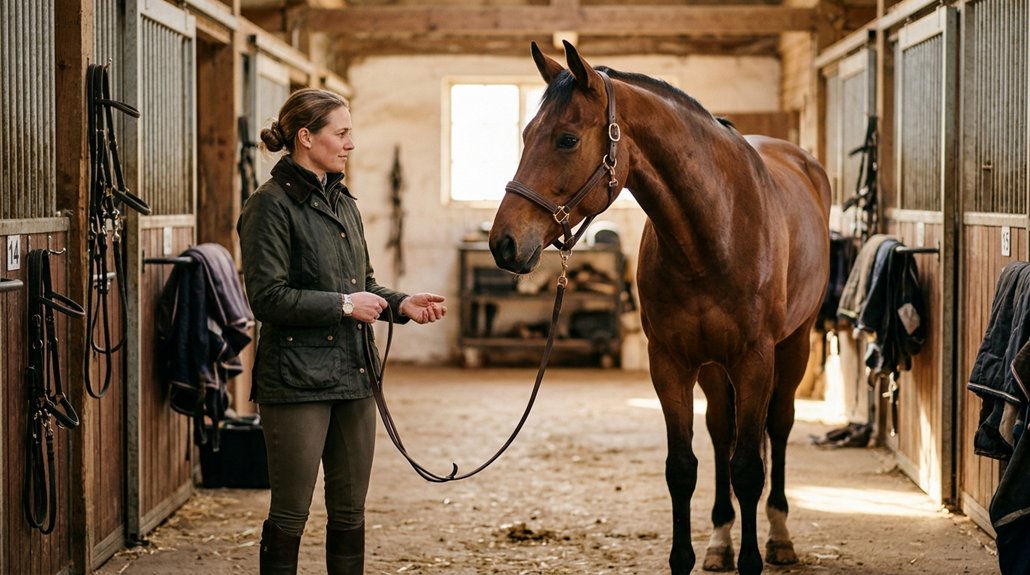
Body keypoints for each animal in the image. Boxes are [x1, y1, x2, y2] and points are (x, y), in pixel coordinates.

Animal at [489, 42, 831, 575]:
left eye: (566, 139)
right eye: (526, 135)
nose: (503, 243)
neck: (715, 230)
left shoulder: (754, 360)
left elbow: (749, 467)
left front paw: (753, 558)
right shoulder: (670, 362)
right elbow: (683, 467)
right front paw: (688, 555)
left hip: (794, 344)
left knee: (778, 425)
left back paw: (778, 535)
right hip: (712, 365)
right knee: (720, 431)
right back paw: (720, 539)